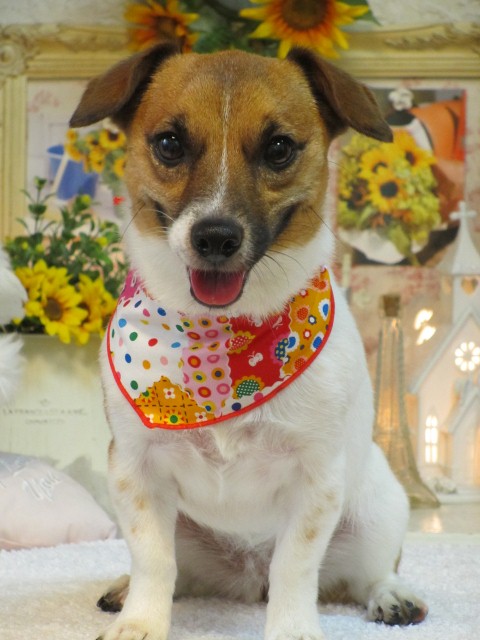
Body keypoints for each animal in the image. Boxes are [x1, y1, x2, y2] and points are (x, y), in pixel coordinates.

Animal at [71, 43, 428, 640]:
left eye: (278, 148)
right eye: (169, 143)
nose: (215, 236)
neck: (223, 348)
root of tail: (245, 576)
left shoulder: (316, 481)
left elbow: (295, 567)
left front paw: (294, 629)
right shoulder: (136, 471)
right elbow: (153, 559)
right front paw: (141, 621)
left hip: (377, 510)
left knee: (367, 574)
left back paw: (392, 595)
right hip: (190, 533)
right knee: (181, 572)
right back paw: (126, 591)